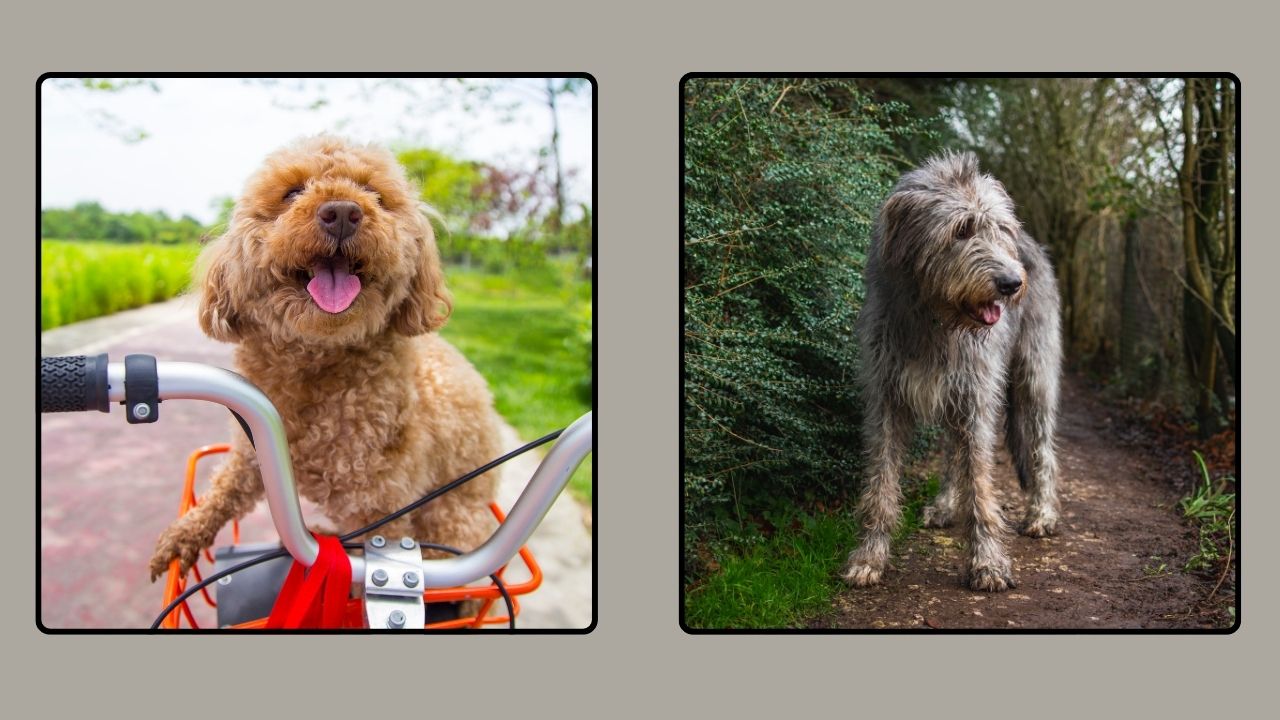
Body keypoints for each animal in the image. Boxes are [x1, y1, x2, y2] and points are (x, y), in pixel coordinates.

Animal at [152, 134, 501, 579]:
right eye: (292, 192)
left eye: (375, 194)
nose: (342, 213)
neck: (316, 357)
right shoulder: (256, 451)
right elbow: (226, 487)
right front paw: (184, 534)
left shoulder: (382, 509)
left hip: (451, 515)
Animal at [844, 149, 1064, 589]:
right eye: (961, 230)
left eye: (1000, 229)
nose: (1012, 283)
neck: (935, 320)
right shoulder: (886, 398)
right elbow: (881, 481)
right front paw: (871, 556)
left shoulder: (977, 395)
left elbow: (980, 482)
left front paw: (988, 562)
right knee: (951, 451)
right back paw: (947, 504)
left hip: (1035, 376)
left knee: (1042, 447)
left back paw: (1042, 513)